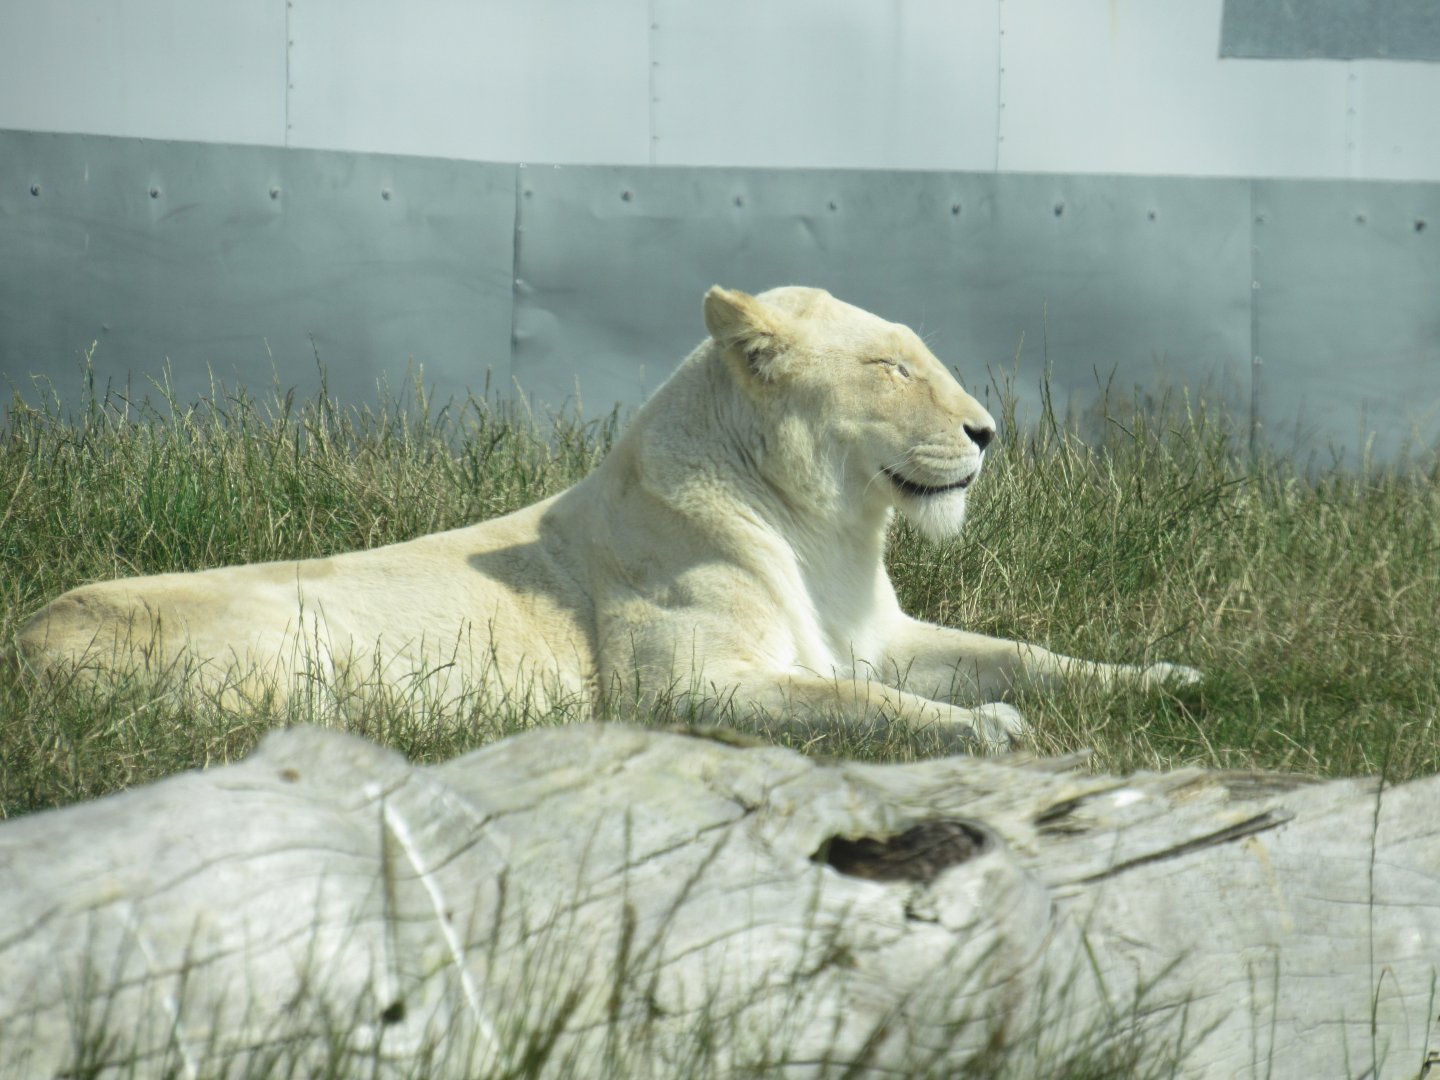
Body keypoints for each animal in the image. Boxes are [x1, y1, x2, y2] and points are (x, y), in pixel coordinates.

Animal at [15, 286, 1199, 749]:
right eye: (890, 367)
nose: (990, 432)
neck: (828, 534)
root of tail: (21, 641)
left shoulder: (881, 636)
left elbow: (1022, 652)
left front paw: (1168, 679)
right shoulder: (681, 687)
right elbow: (849, 704)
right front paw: (985, 729)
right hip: (283, 651)